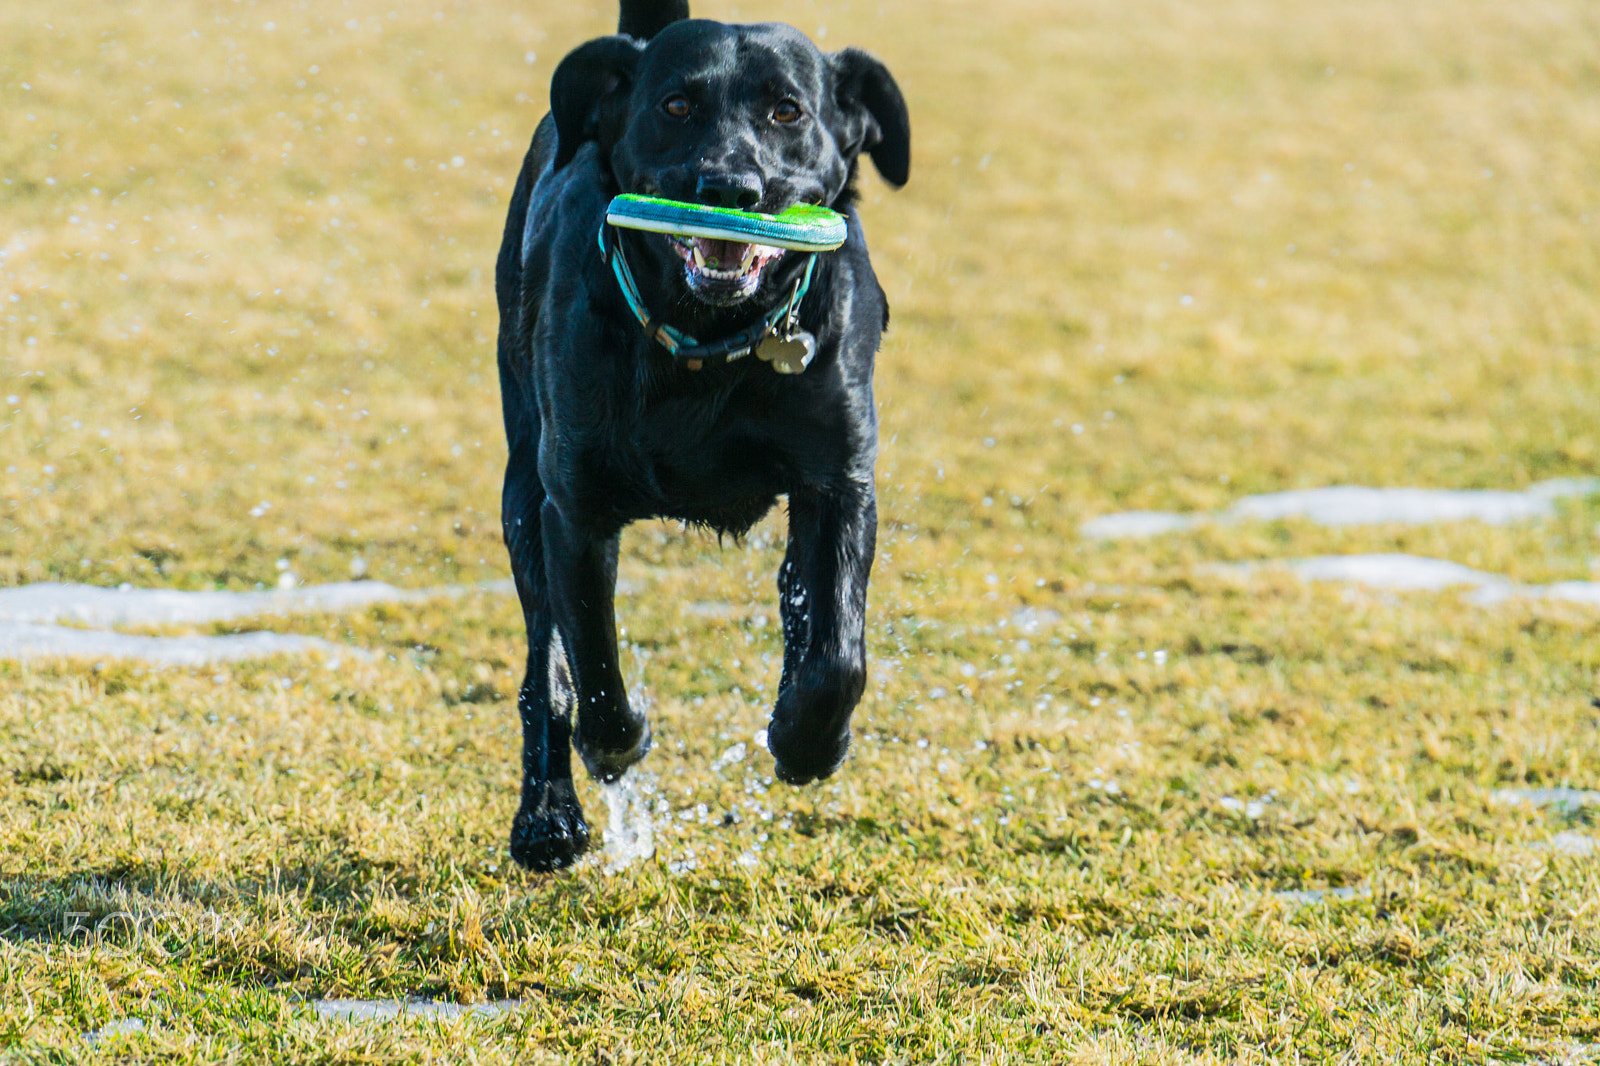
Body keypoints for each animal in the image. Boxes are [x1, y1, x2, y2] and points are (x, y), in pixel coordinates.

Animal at [486, 0, 915, 870]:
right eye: (676, 105)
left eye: (788, 112)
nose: (730, 187)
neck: (711, 343)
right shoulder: (571, 510)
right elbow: (592, 666)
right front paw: (615, 748)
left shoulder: (841, 484)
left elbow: (838, 655)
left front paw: (806, 740)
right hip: (521, 491)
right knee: (545, 666)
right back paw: (547, 816)